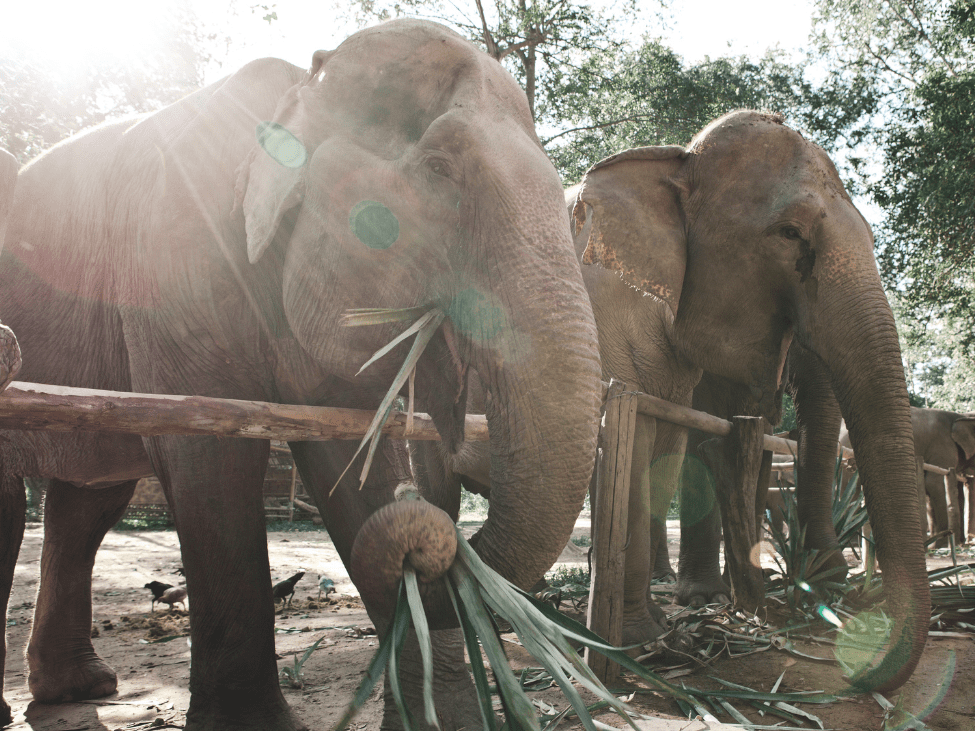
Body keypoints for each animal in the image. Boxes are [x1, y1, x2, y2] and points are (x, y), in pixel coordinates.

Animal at [0, 18, 604, 731]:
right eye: (438, 169)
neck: (302, 90)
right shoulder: (175, 260)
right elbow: (210, 461)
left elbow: (353, 463)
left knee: (88, 502)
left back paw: (80, 688)